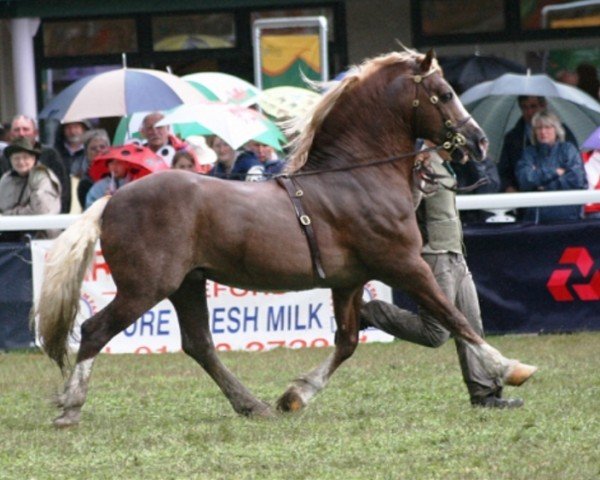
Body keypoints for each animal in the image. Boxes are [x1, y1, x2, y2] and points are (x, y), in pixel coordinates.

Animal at [36, 49, 536, 428]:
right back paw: (70, 408)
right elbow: (457, 318)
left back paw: (251, 405)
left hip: (187, 284)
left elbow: (347, 341)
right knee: (95, 330)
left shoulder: (348, 281)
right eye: (446, 94)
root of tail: (112, 200)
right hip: (146, 287)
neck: (356, 178)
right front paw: (511, 368)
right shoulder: (404, 264)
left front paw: (295, 395)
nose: (479, 142)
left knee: (199, 345)